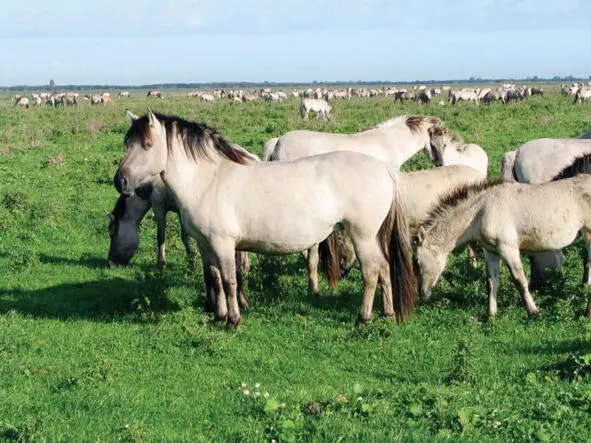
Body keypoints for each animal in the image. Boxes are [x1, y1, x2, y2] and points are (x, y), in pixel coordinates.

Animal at [114, 109, 416, 328]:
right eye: (127, 143)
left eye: (147, 144)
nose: (121, 181)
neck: (209, 180)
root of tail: (384, 169)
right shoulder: (205, 244)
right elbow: (214, 278)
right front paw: (219, 316)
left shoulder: (223, 244)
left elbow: (230, 281)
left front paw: (233, 321)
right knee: (385, 268)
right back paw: (388, 313)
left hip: (362, 236)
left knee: (372, 272)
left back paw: (363, 318)